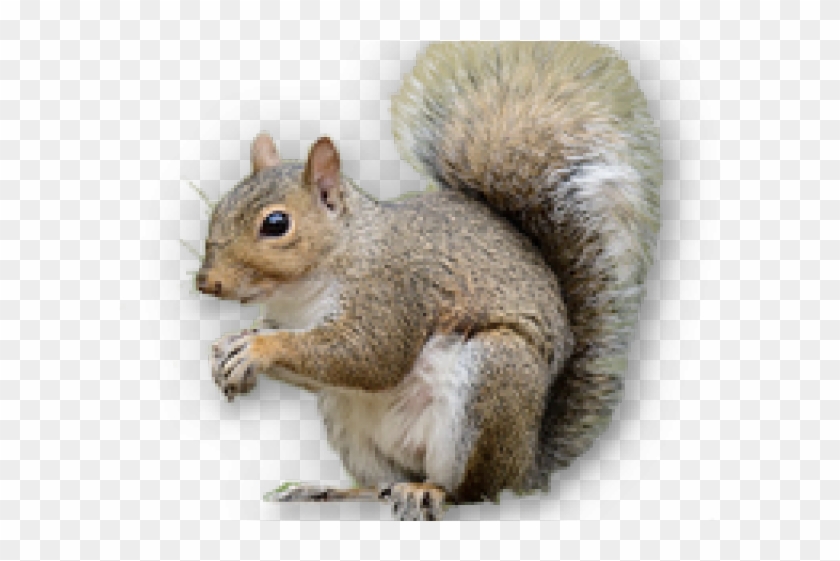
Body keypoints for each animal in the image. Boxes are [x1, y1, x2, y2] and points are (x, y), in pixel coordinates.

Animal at [196, 42, 661, 520]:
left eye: (276, 223)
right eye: (219, 208)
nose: (206, 283)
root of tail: (527, 467)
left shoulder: (393, 290)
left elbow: (368, 355)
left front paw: (257, 348)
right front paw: (228, 346)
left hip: (494, 375)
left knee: (471, 490)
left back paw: (429, 492)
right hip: (349, 421)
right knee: (383, 483)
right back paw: (332, 492)